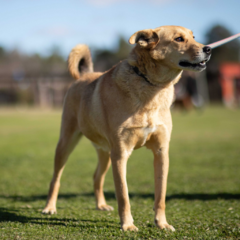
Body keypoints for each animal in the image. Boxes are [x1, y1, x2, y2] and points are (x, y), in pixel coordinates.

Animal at [42, 25, 211, 231]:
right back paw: (49, 207)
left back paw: (101, 205)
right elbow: (123, 195)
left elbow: (160, 195)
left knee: (96, 177)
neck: (151, 88)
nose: (209, 48)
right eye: (179, 39)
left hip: (105, 153)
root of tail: (84, 75)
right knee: (55, 179)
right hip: (67, 143)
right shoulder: (121, 154)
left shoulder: (161, 152)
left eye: (193, 36)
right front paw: (128, 225)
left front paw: (162, 223)